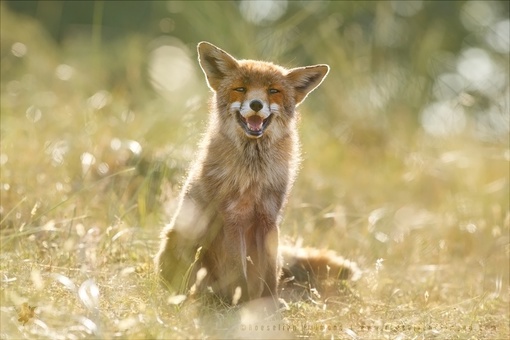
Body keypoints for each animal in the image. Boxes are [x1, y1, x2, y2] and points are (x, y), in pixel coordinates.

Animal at [155, 41, 358, 306]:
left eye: (273, 91)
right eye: (241, 89)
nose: (256, 105)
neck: (255, 173)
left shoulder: (269, 218)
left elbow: (269, 274)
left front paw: (270, 304)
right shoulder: (232, 218)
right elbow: (237, 271)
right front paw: (241, 304)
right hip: (182, 240)